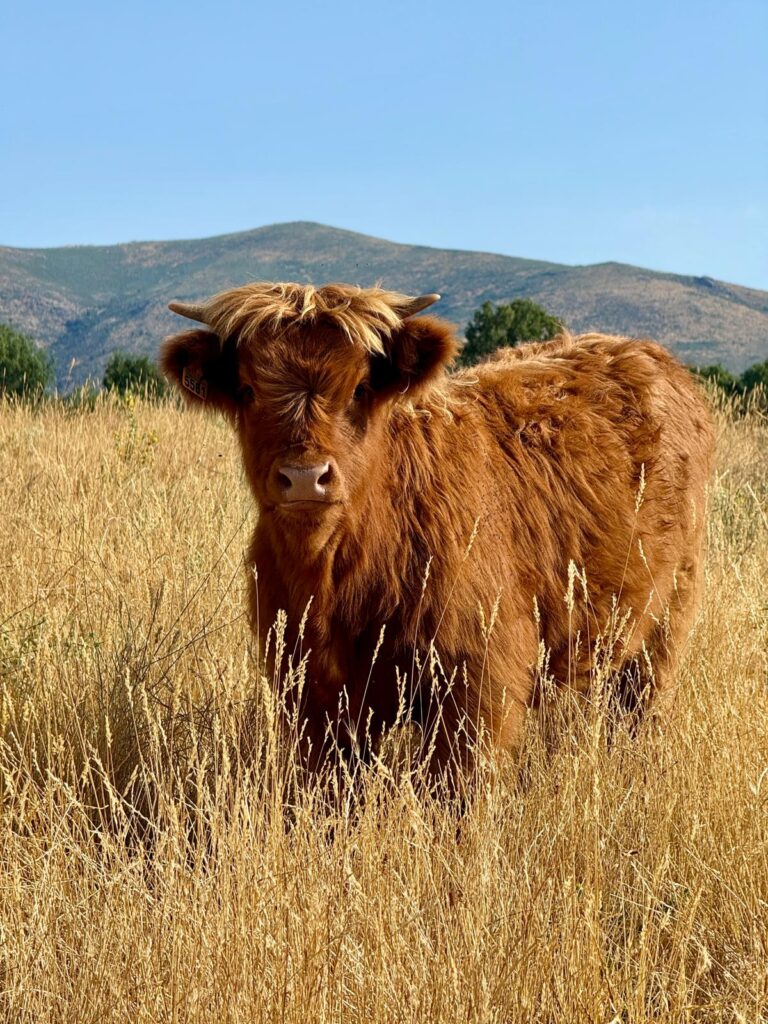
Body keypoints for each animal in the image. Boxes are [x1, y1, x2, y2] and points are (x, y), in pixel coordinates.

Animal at [160, 283, 714, 778]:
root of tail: (639, 350)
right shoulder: (310, 694)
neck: (338, 574)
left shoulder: (478, 682)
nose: (304, 476)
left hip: (667, 619)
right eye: (249, 390)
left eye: (359, 389)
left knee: (639, 706)